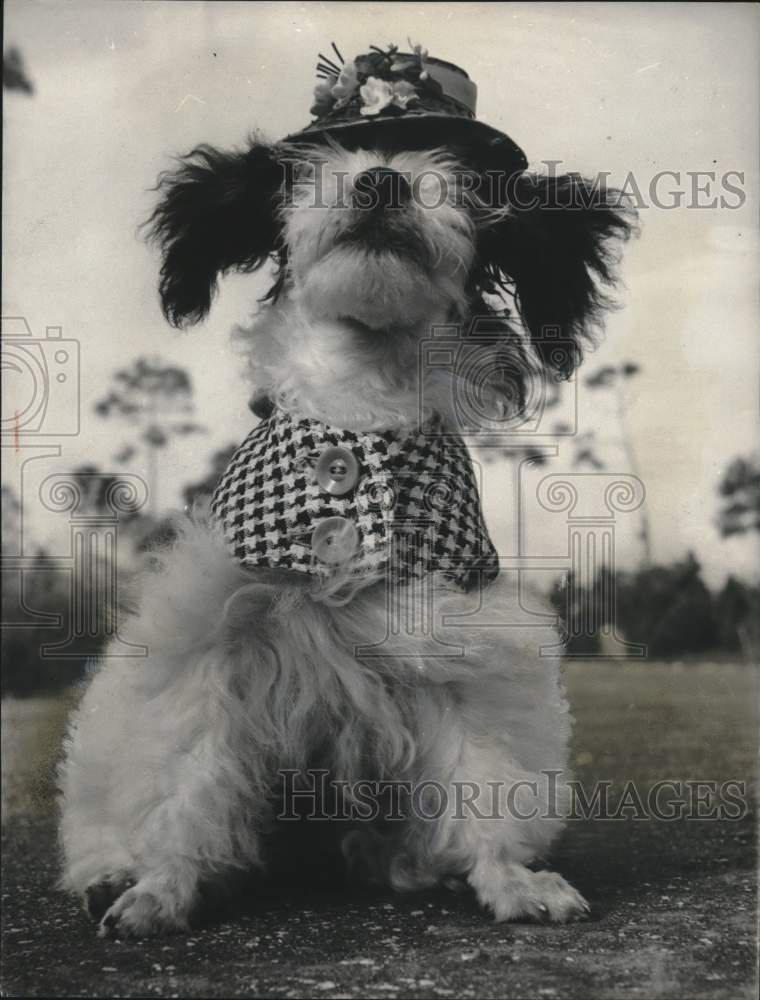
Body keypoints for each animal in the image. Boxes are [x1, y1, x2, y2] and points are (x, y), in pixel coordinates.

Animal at [56, 43, 632, 936]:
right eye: (320, 160)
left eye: (457, 170)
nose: (382, 180)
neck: (360, 402)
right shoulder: (210, 640)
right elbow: (186, 780)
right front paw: (161, 888)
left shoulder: (461, 640)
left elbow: (485, 772)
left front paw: (509, 878)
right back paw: (110, 872)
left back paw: (407, 866)